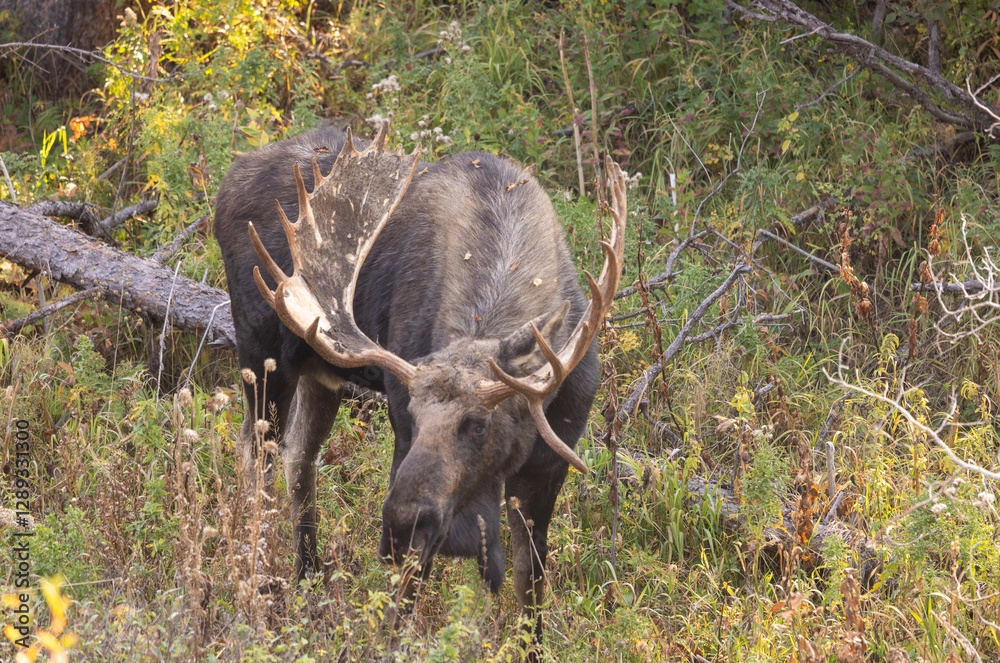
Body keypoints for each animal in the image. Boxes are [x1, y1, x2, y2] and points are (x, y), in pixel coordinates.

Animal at [214, 120, 626, 645]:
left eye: (478, 425)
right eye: (411, 415)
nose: (399, 523)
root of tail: (228, 180)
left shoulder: (550, 462)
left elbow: (529, 587)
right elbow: (408, 588)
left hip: (319, 371)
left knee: (298, 458)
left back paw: (308, 581)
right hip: (261, 353)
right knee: (255, 456)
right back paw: (264, 587)